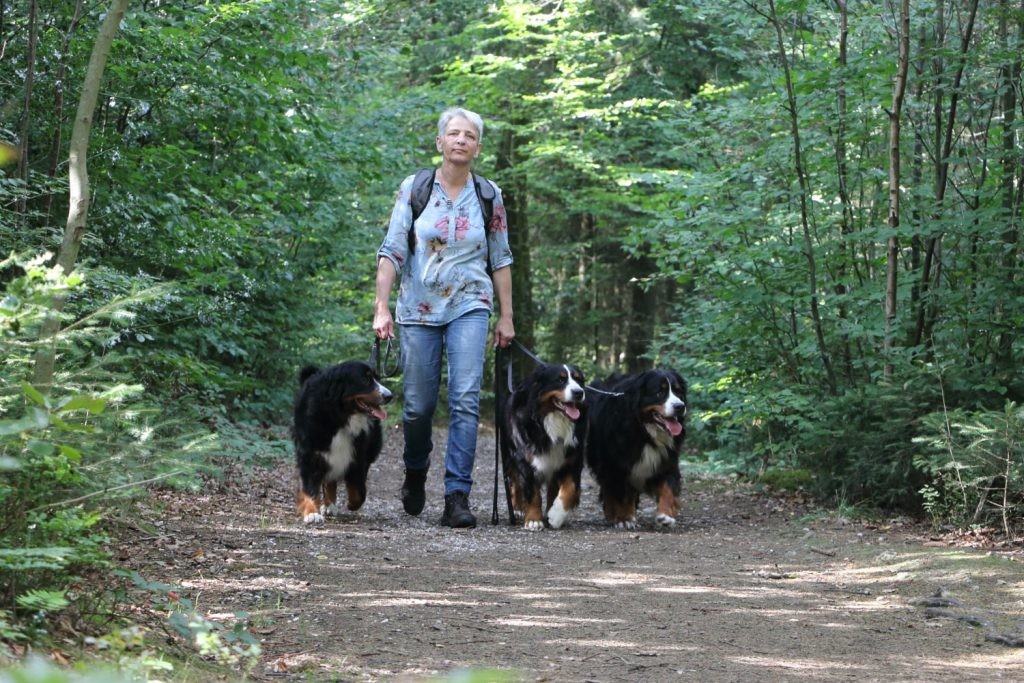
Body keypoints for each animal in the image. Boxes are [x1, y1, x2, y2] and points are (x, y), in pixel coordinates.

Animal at [296, 360, 395, 528]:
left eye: (377, 378)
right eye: (365, 379)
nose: (389, 395)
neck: (339, 418)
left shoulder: (358, 455)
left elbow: (359, 491)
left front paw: (351, 504)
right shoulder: (310, 452)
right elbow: (310, 487)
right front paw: (312, 513)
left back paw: (330, 505)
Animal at [499, 362, 589, 528]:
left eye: (578, 380)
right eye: (560, 380)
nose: (579, 393)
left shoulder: (572, 459)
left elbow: (570, 489)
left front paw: (555, 515)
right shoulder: (524, 460)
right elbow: (532, 492)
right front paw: (534, 519)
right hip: (508, 456)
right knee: (514, 483)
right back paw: (517, 508)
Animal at [585, 368, 688, 528]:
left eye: (678, 392)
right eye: (660, 392)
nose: (680, 406)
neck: (644, 431)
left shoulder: (666, 459)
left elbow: (668, 486)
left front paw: (665, 515)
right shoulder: (616, 464)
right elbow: (620, 494)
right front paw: (623, 519)